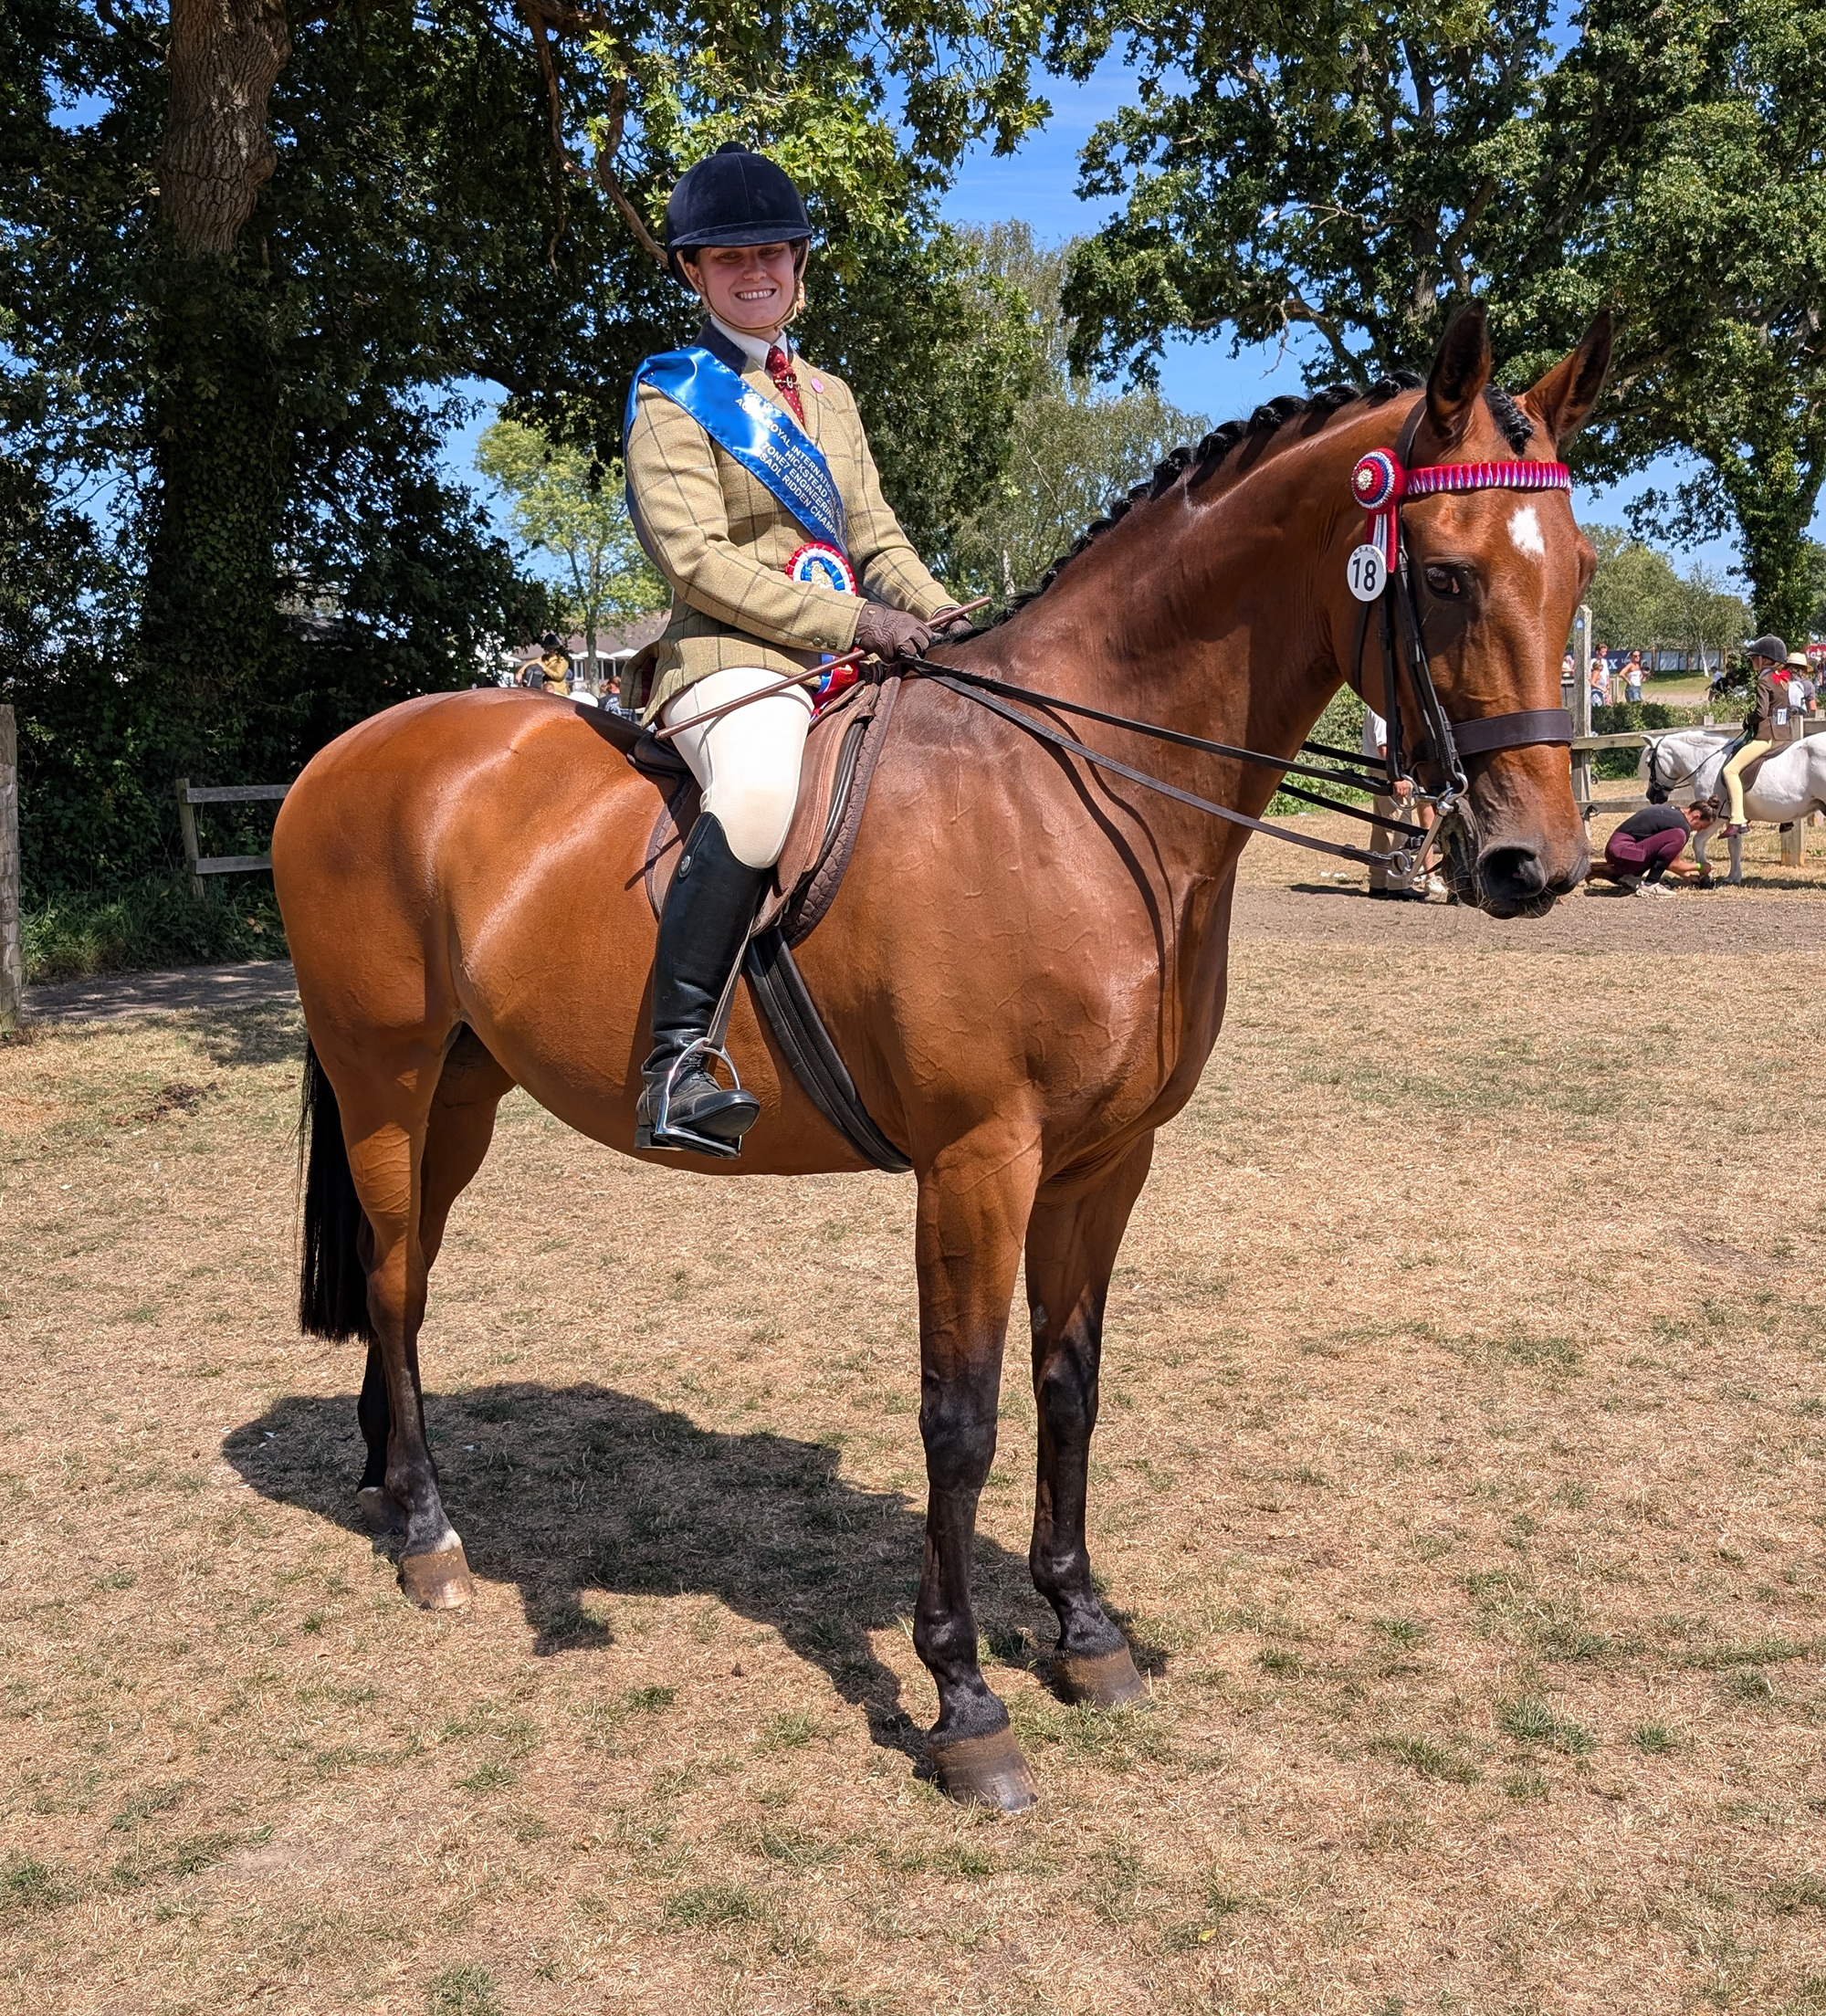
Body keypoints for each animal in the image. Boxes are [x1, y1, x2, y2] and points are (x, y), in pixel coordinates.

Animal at [272, 304, 1609, 1811]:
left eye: (1579, 575)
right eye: (1443, 580)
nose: (1534, 866)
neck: (1083, 792)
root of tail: (346, 752)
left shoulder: (1105, 1162)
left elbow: (1070, 1391)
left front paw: (1085, 1633)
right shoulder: (978, 1163)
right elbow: (958, 1419)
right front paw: (966, 1702)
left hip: (462, 1088)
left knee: (410, 1282)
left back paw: (392, 1485)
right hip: (383, 1076)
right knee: (391, 1280)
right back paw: (429, 1539)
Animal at [1640, 728, 1826, 882]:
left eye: (1649, 763)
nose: (1651, 795)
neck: (1708, 761)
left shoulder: (1716, 817)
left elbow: (1698, 842)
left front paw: (1706, 876)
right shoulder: (1733, 819)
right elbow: (1734, 846)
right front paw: (1733, 877)